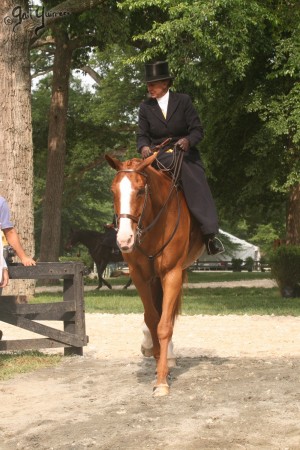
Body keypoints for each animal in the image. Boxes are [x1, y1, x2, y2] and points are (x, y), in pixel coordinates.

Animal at [105, 153, 204, 396]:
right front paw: (159, 359)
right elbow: (152, 318)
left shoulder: (171, 274)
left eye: (141, 191)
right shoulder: (140, 276)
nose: (124, 239)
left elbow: (164, 324)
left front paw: (161, 381)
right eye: (113, 191)